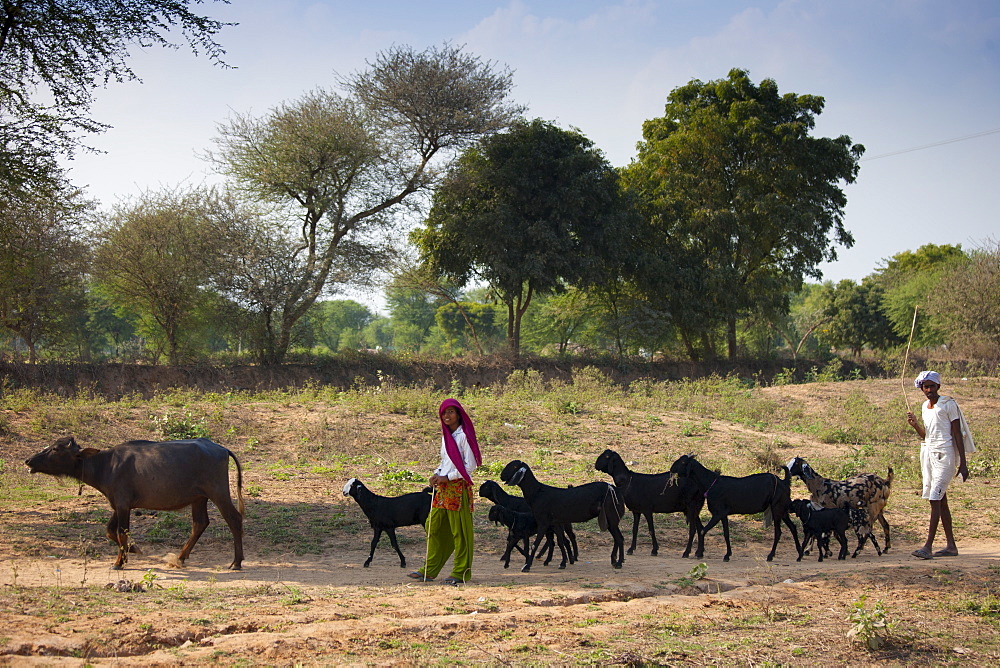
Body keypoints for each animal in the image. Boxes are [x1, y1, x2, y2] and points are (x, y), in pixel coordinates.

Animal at [24, 436, 244, 572]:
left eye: (55, 449)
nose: (28, 461)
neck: (106, 465)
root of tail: (222, 449)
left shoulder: (123, 505)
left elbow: (121, 532)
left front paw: (118, 562)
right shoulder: (118, 504)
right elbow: (109, 531)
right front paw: (133, 549)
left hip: (218, 492)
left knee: (234, 519)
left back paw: (236, 562)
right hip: (198, 498)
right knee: (200, 523)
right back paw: (180, 557)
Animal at [668, 454, 800, 564]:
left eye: (683, 462)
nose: (671, 468)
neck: (711, 483)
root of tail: (784, 482)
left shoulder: (718, 513)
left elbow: (702, 531)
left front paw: (699, 553)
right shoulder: (723, 514)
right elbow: (726, 533)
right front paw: (727, 555)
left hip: (776, 507)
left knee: (778, 532)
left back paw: (770, 556)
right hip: (783, 509)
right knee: (793, 527)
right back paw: (799, 555)